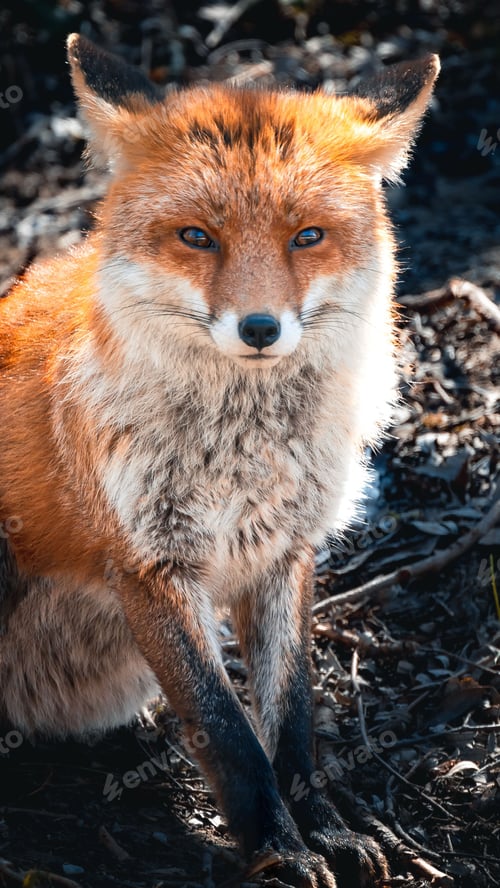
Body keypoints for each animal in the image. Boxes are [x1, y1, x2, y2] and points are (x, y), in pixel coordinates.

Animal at [0, 34, 439, 886]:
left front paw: (323, 829)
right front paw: (276, 848)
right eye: (197, 237)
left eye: (307, 237)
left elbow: (290, 718)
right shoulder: (152, 563)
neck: (243, 453)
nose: (261, 328)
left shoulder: (286, 552)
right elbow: (226, 729)